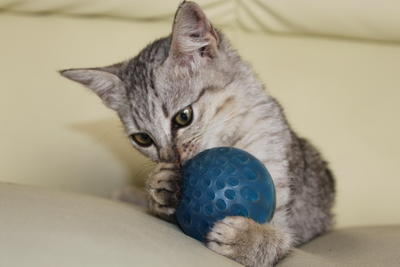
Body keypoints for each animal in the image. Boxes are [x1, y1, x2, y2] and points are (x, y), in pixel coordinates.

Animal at [59, 1, 334, 266]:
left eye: (184, 116)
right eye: (143, 138)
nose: (171, 159)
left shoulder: (286, 211)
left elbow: (280, 239)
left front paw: (247, 239)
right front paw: (158, 187)